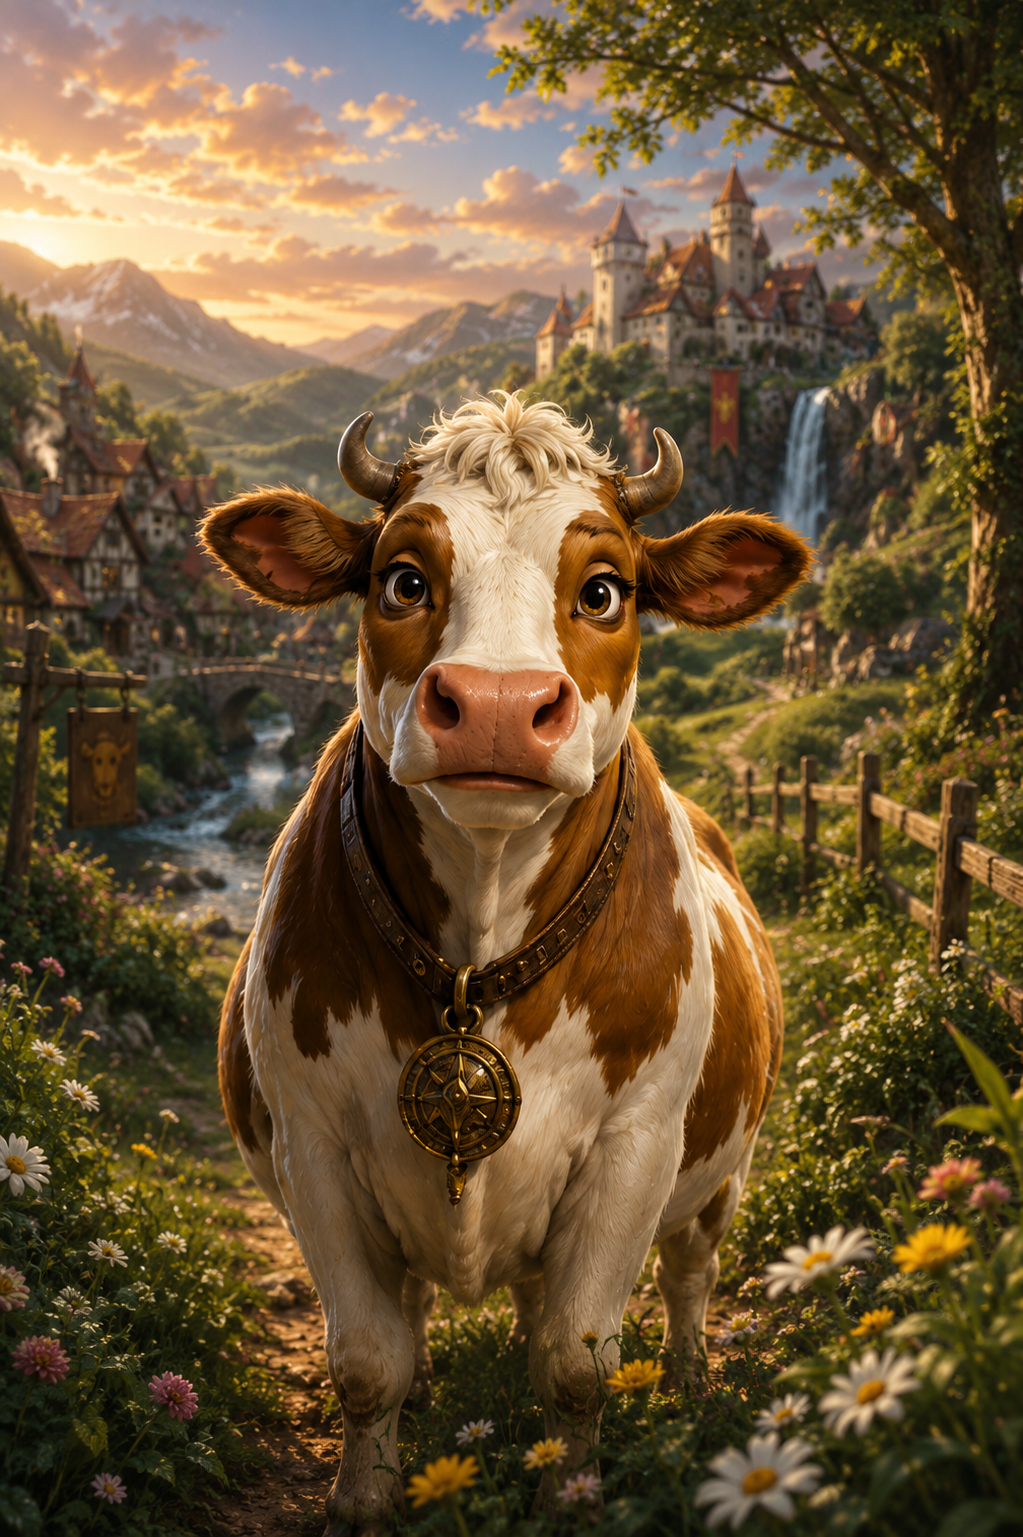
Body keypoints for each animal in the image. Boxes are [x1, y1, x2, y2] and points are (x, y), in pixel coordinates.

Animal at [201, 393, 810, 1535]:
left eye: (604, 589)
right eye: (403, 578)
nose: (493, 705)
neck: (475, 960)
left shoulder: (635, 1144)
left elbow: (576, 1361)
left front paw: (571, 1493)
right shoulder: (311, 1143)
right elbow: (367, 1360)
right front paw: (365, 1495)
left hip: (723, 1170)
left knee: (690, 1274)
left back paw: (692, 1381)